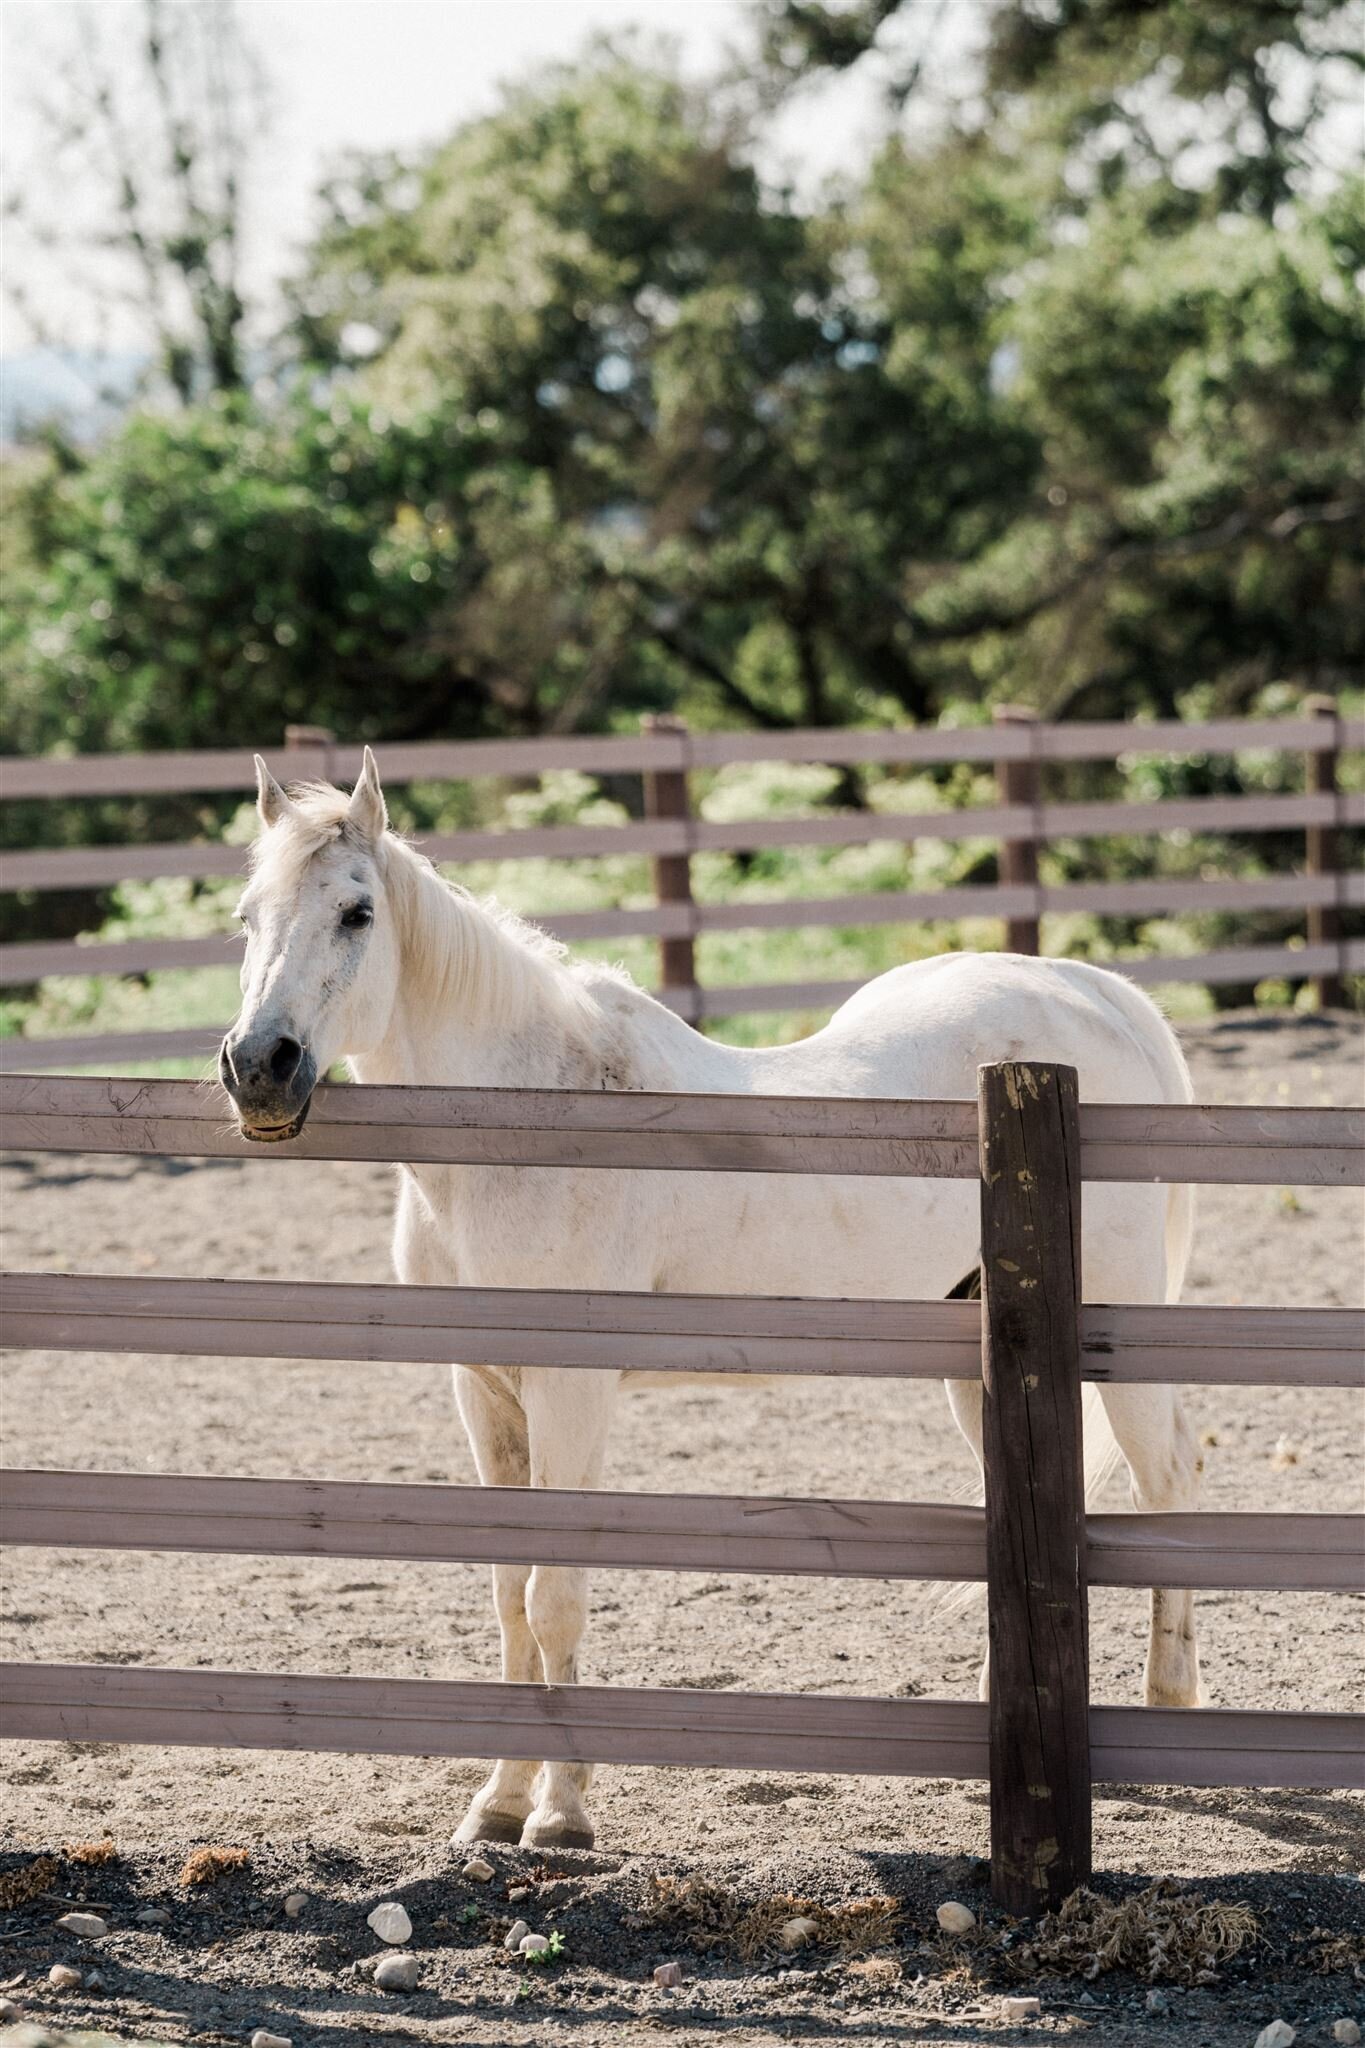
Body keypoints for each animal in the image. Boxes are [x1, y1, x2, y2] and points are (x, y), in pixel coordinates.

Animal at [222, 753, 1203, 1859]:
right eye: (247, 918)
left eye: (355, 911)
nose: (259, 1067)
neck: (527, 1119)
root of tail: (1093, 994)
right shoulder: (486, 1392)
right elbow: (509, 1597)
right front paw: (499, 1802)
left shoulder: (571, 1389)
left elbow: (555, 1597)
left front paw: (561, 1813)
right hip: (975, 1355)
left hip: (1114, 1332)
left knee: (1169, 1476)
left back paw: (1170, 1706)